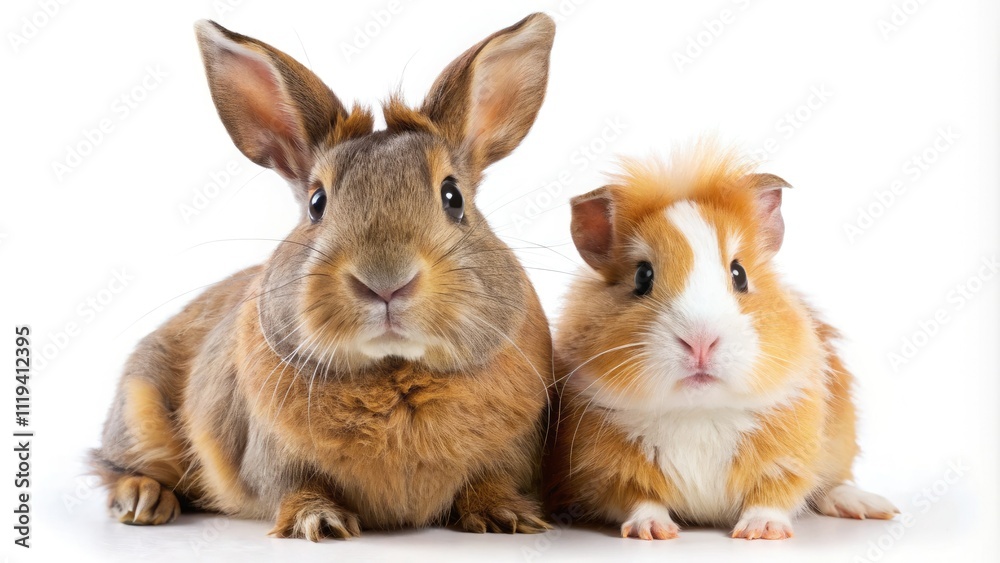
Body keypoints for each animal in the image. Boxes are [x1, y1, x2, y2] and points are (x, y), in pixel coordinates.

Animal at [91, 13, 557, 540]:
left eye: (453, 197)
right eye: (317, 203)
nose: (385, 282)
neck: (394, 371)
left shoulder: (510, 454)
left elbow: (490, 480)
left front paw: (508, 515)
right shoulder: (272, 458)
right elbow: (294, 487)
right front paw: (320, 520)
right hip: (139, 409)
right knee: (116, 465)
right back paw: (143, 500)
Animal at [543, 142, 898, 540]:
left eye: (739, 274)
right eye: (642, 276)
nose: (700, 342)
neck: (697, 413)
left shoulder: (789, 461)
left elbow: (774, 498)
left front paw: (760, 533)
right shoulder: (607, 472)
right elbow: (639, 501)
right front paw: (654, 532)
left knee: (834, 484)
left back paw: (873, 507)